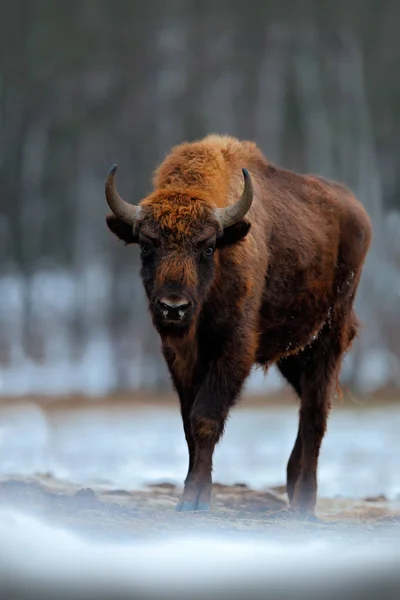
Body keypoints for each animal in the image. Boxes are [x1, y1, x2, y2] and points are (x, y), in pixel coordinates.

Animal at [105, 135, 372, 516]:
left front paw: (194, 499)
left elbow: (205, 419)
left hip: (330, 338)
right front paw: (192, 495)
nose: (173, 307)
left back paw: (304, 504)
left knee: (315, 412)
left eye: (208, 247)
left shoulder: (234, 349)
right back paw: (292, 484)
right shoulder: (179, 358)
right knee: (306, 406)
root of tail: (357, 214)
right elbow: (188, 424)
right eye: (145, 245)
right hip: (294, 353)